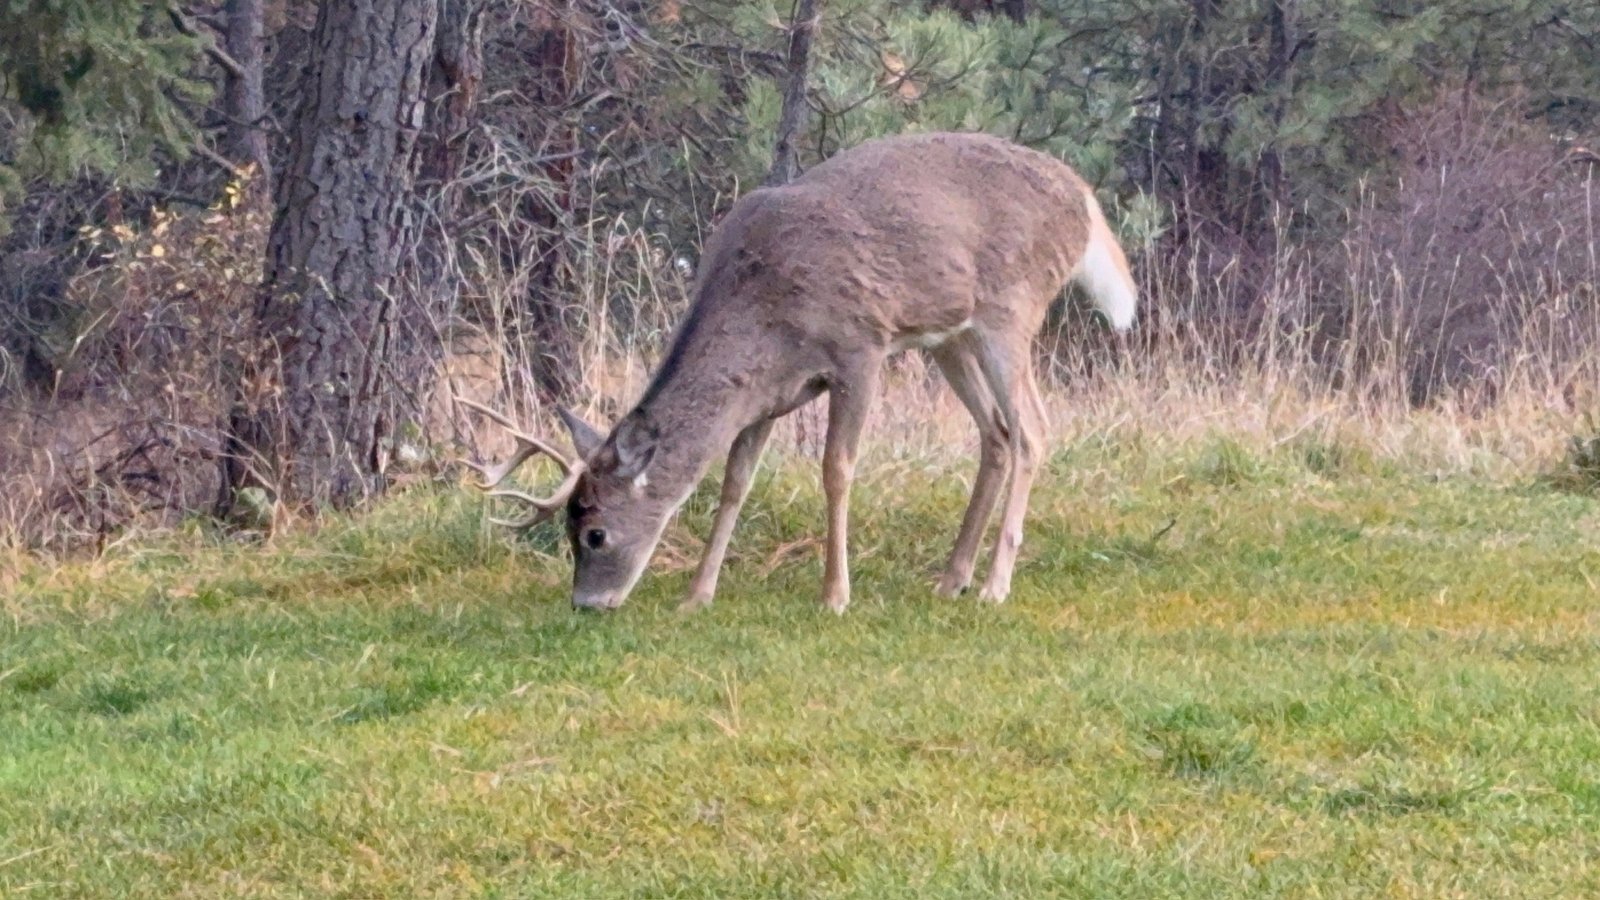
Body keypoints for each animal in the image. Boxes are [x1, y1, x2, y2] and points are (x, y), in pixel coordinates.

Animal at [457, 131, 1137, 613]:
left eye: (594, 532)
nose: (586, 604)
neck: (764, 309)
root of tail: (1084, 198)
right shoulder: (766, 393)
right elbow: (734, 482)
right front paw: (697, 596)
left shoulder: (860, 346)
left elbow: (836, 470)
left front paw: (835, 595)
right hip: (953, 336)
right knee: (996, 432)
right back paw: (952, 579)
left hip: (1011, 309)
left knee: (1033, 431)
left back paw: (996, 585)